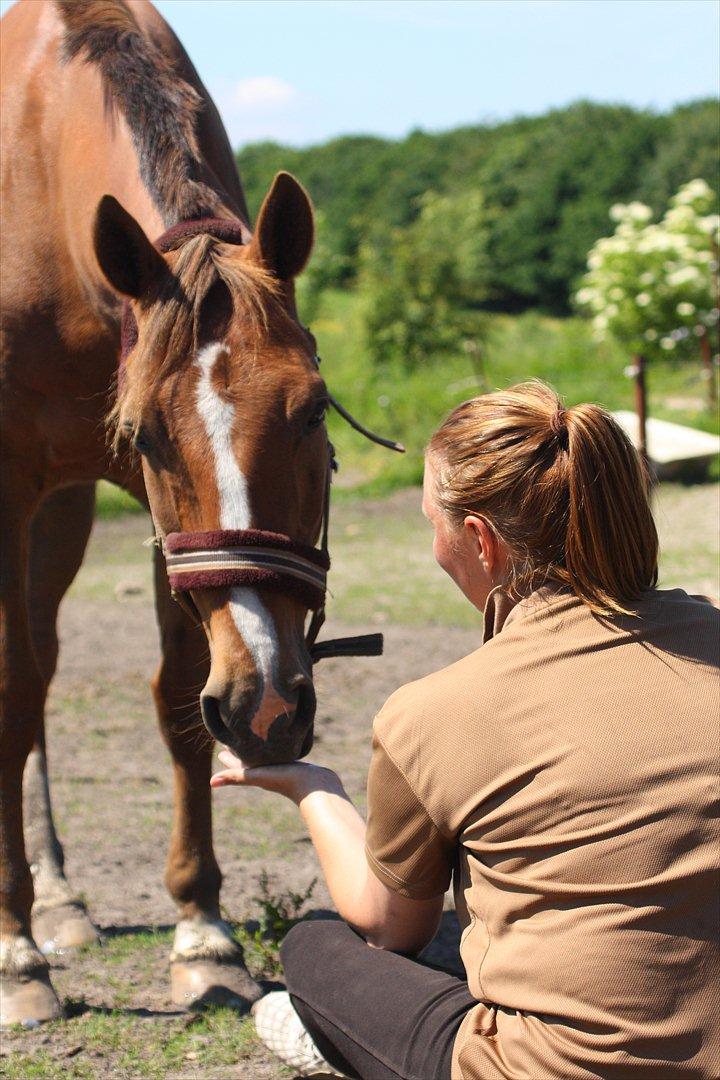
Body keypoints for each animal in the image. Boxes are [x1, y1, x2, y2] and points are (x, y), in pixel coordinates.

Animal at [0, 0, 334, 1023]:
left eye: (313, 409)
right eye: (149, 434)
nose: (269, 703)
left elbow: (179, 688)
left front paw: (203, 933)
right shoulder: (11, 486)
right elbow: (8, 690)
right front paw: (15, 953)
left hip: (63, 515)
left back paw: (62, 898)